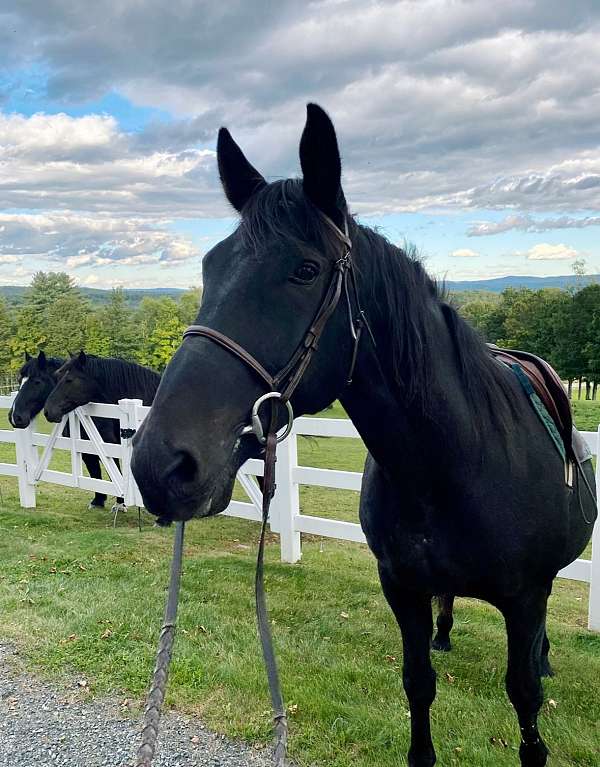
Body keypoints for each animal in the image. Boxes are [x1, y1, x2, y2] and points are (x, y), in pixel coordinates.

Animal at [8, 352, 123, 510]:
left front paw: (120, 503)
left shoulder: (108, 444)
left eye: (37, 382)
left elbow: (115, 472)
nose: (15, 417)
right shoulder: (86, 447)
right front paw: (98, 500)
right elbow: (94, 471)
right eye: (20, 380)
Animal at [131, 103, 596, 767]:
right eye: (209, 267)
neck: (456, 465)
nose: (160, 463)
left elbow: (526, 697)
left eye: (305, 270)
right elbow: (418, 684)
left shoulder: (526, 599)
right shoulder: (402, 589)